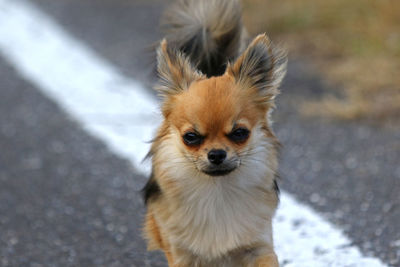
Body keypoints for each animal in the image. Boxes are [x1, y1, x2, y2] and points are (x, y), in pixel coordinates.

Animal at [142, 1, 286, 266]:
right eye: (191, 137)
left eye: (240, 133)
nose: (217, 154)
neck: (216, 191)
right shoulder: (181, 254)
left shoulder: (259, 247)